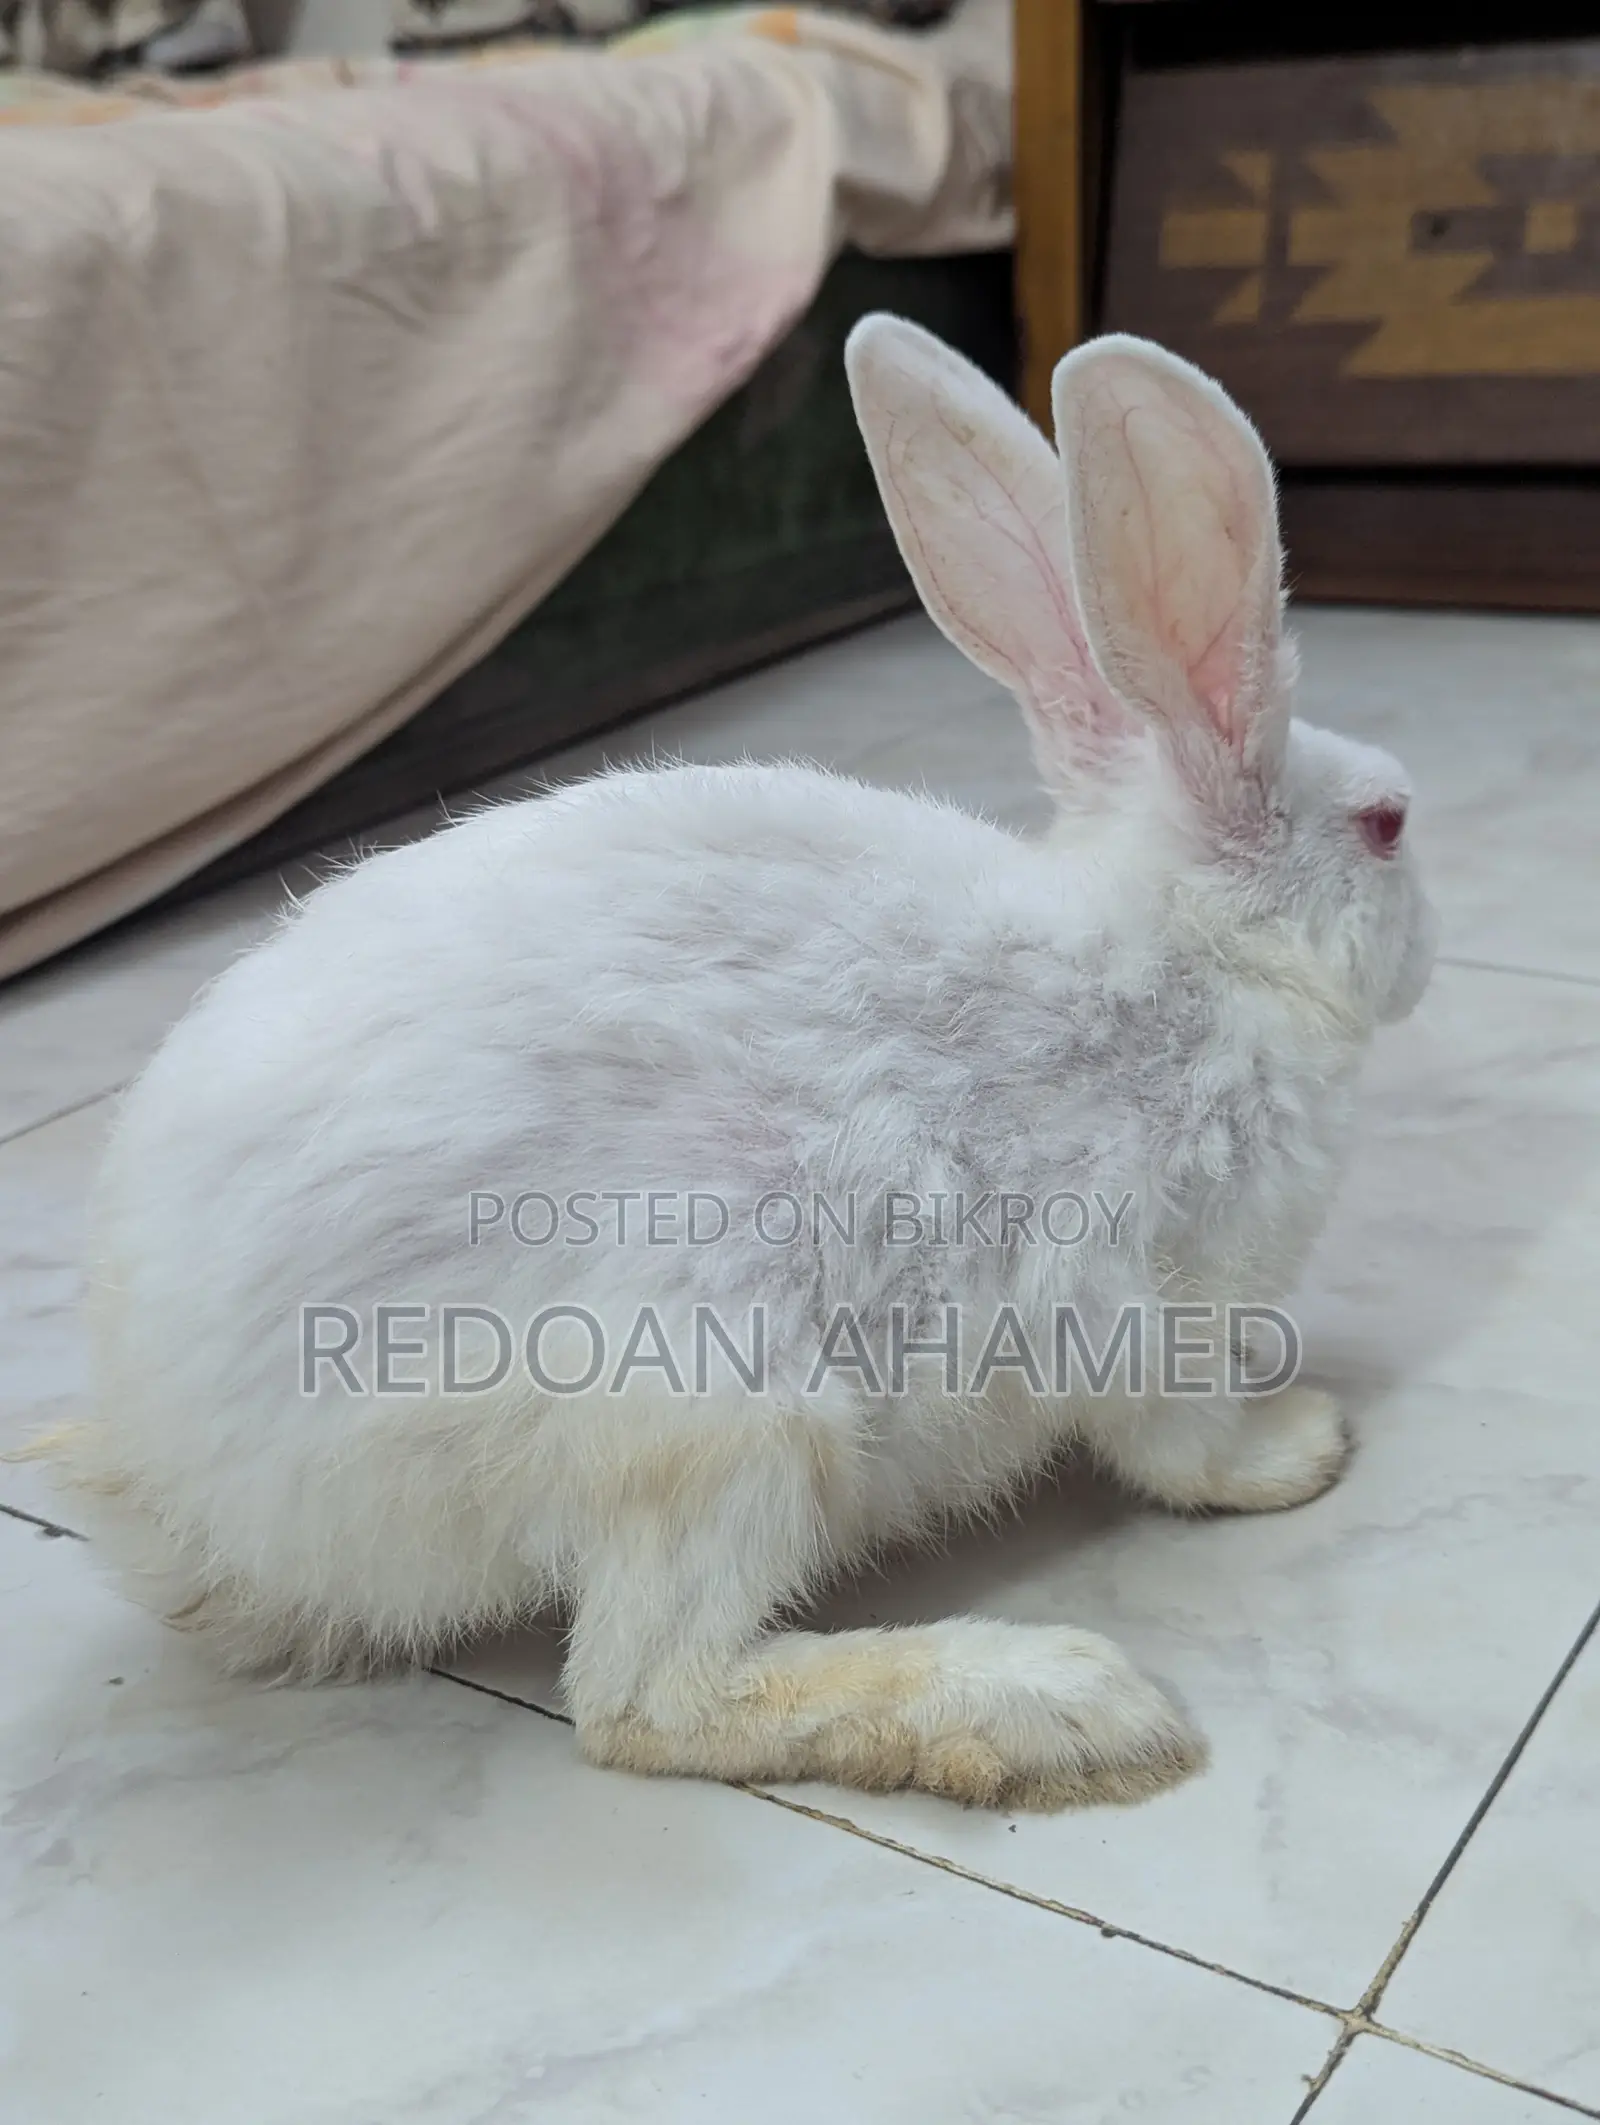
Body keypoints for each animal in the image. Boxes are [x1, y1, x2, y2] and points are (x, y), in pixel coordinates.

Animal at [36, 317, 1435, 1812]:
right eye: (1388, 825)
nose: (1428, 948)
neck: (1199, 955)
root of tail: (185, 1489)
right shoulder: (1162, 1312)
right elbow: (1183, 1453)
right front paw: (1300, 1450)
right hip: (721, 1404)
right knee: (645, 1699)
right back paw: (1058, 1704)